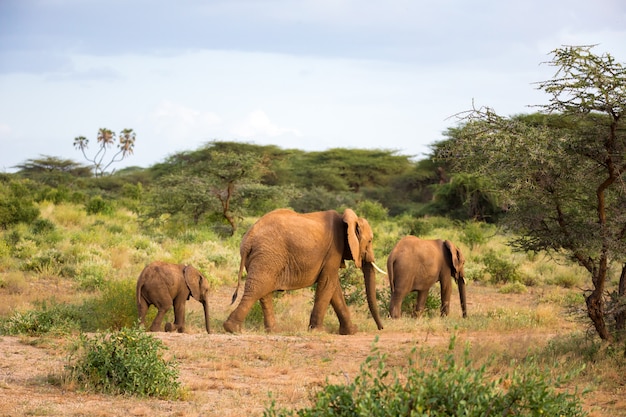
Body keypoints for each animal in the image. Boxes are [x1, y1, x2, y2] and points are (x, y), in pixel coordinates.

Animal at [222, 208, 382, 334]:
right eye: (369, 241)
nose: (381, 328)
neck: (346, 219)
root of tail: (248, 238)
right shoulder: (333, 250)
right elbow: (328, 284)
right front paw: (318, 331)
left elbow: (334, 287)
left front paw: (351, 331)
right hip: (268, 255)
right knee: (257, 288)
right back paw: (232, 329)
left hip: (263, 258)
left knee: (263, 291)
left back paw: (273, 331)